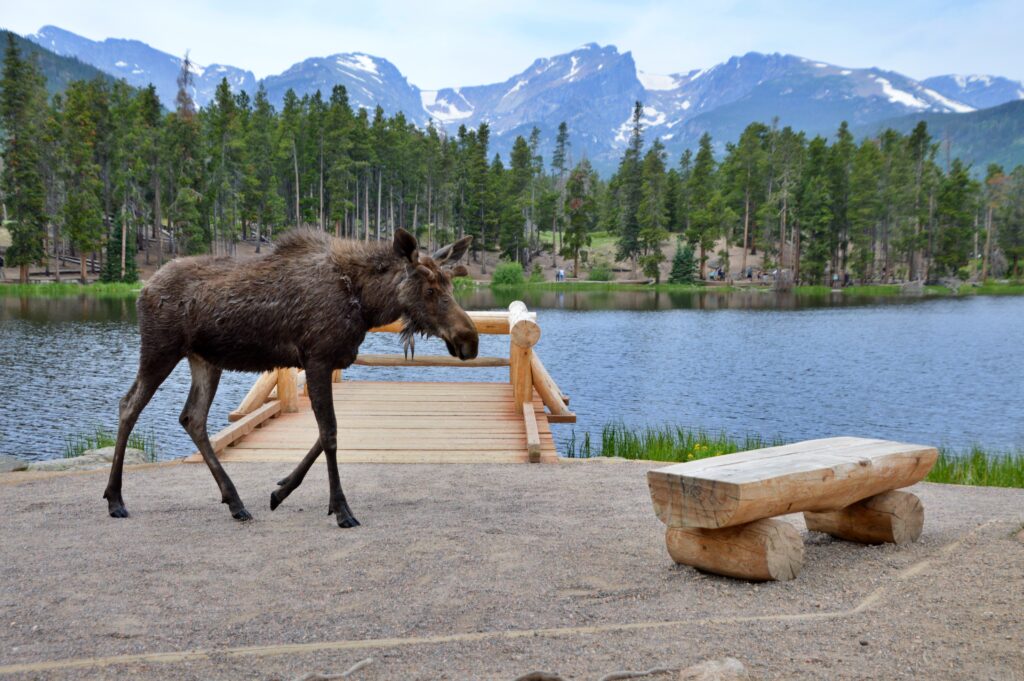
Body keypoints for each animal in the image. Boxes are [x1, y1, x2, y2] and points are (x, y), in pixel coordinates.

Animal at [103, 229, 477, 527]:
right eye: (429, 290)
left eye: (450, 283)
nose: (469, 339)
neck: (366, 303)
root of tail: (143, 289)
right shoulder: (318, 358)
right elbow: (330, 433)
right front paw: (341, 509)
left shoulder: (322, 362)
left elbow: (324, 433)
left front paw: (281, 491)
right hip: (160, 349)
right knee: (128, 404)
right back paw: (115, 499)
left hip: (205, 360)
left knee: (192, 417)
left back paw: (235, 502)